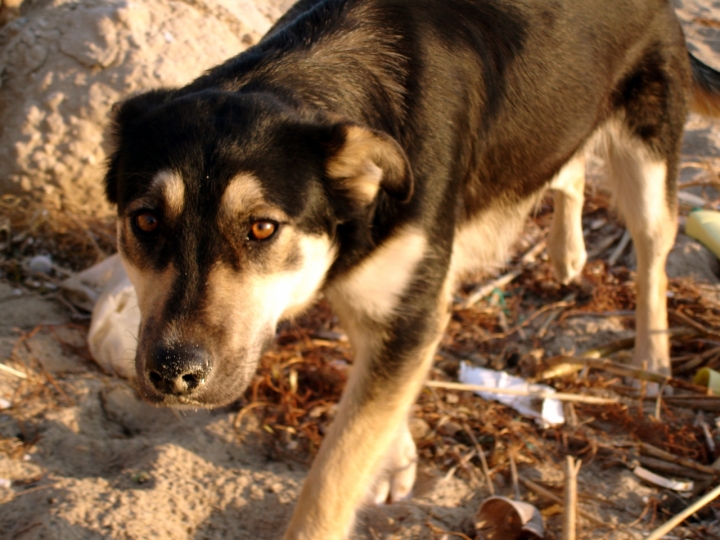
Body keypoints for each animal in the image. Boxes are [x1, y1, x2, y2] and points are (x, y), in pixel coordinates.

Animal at [101, 2, 720, 536]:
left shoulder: (409, 306)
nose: (173, 374)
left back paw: (651, 359)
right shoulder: (380, 294)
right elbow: (374, 408)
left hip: (647, 160)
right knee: (565, 169)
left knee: (652, 255)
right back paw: (567, 252)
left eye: (262, 228)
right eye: (146, 221)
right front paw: (395, 459)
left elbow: (334, 476)